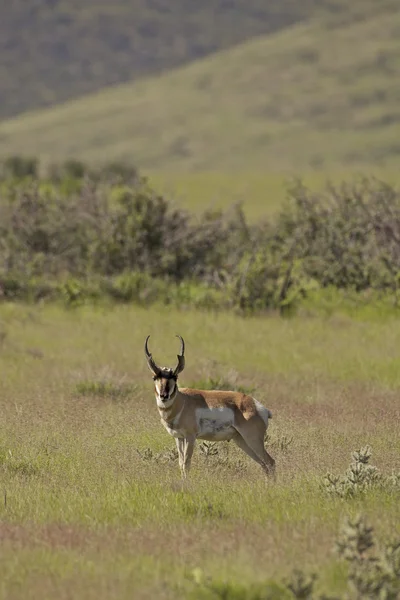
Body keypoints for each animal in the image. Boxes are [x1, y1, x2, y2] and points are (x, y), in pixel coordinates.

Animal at [144, 338, 276, 478]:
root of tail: (258, 406)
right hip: (241, 441)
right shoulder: (178, 437)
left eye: (175, 377)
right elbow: (180, 463)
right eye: (155, 377)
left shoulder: (190, 437)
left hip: (252, 439)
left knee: (270, 462)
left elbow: (186, 463)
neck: (182, 401)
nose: (164, 396)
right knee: (263, 464)